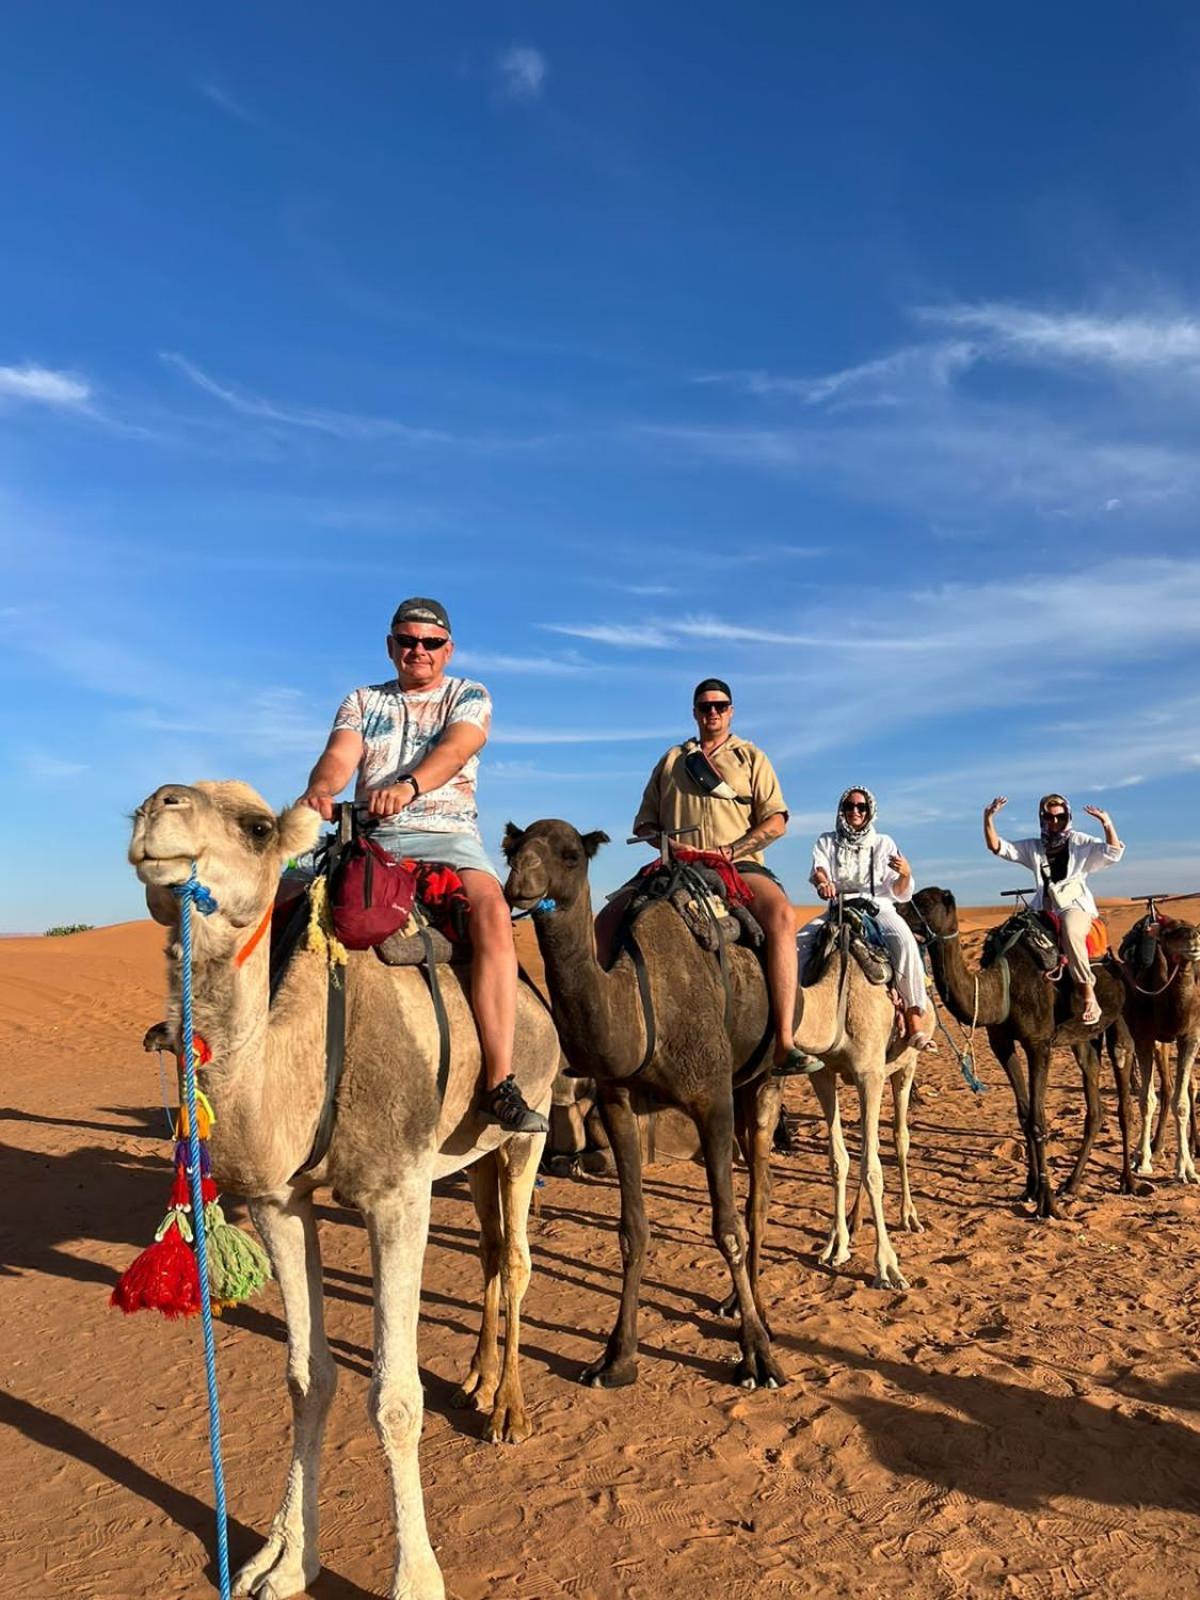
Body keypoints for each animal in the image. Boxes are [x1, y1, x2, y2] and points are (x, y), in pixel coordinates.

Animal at [129, 784, 563, 1600]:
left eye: (256, 827)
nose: (154, 808)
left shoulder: (399, 1194)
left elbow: (394, 1399)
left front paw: (416, 1579)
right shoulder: (280, 1201)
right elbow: (308, 1379)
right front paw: (281, 1561)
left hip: (534, 1117)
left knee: (518, 1256)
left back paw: (510, 1413)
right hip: (472, 1155)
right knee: (492, 1251)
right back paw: (479, 1382)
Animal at [505, 825, 908, 1401]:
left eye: (571, 854)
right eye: (512, 850)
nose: (520, 882)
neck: (643, 1001)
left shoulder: (710, 1098)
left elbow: (728, 1229)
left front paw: (758, 1357)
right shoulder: (617, 1104)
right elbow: (632, 1231)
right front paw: (616, 1358)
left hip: (761, 1080)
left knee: (758, 1196)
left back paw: (758, 1310)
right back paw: (740, 1302)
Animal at [908, 889, 1139, 1209]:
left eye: (925, 901)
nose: (892, 909)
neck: (1002, 983)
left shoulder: (1038, 1043)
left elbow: (1038, 1120)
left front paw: (1046, 1201)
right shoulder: (1001, 1043)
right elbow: (1025, 1115)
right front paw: (1030, 1189)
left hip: (1121, 1018)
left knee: (1123, 1089)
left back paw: (1127, 1181)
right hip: (1082, 1038)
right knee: (1093, 1091)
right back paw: (1071, 1184)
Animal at [1120, 908, 1200, 1184]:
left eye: (1195, 926)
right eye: (1167, 932)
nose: (1193, 939)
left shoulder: (1190, 1036)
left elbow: (1181, 1102)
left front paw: (1186, 1169)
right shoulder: (1143, 1036)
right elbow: (1146, 1100)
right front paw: (1143, 1161)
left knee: (1177, 1088)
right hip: (1153, 1041)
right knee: (1162, 1089)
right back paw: (1149, 1150)